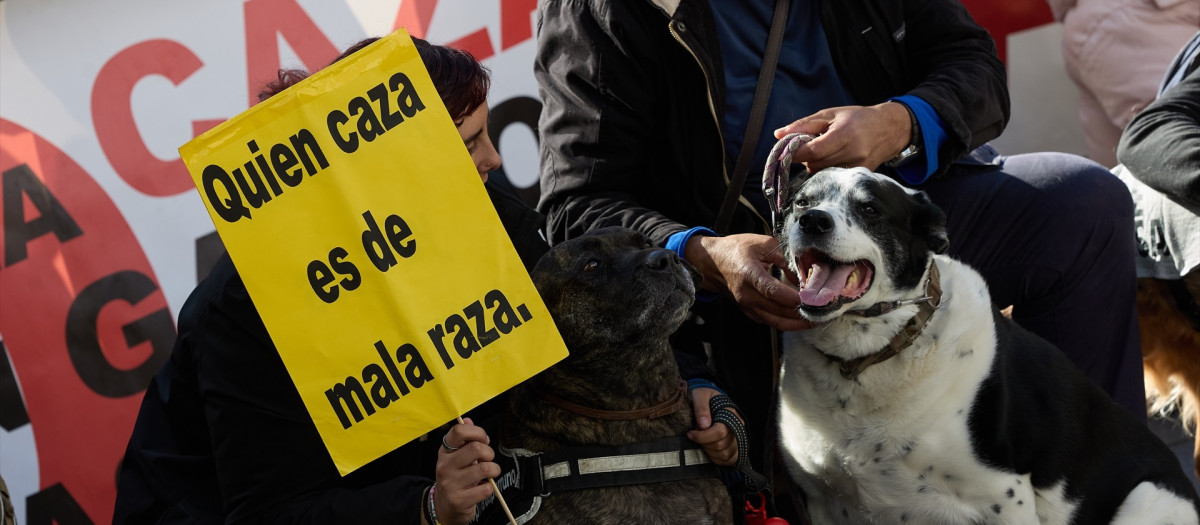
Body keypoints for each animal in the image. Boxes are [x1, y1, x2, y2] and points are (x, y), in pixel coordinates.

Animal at [772, 166, 1195, 522]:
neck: (868, 359)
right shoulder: (825, 501)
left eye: (870, 208)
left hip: (1145, 500)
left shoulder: (1003, 497)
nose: (812, 220)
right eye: (801, 202)